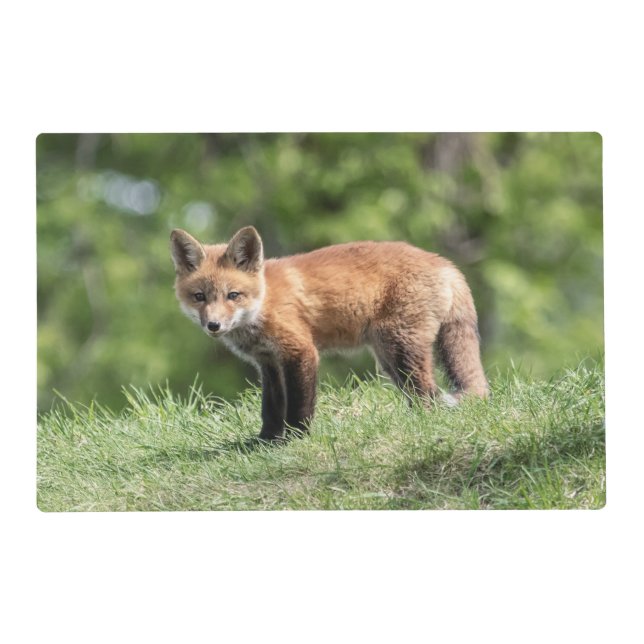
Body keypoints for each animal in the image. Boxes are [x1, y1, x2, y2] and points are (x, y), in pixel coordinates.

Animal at [170, 226, 489, 440]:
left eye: (233, 295)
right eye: (199, 297)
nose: (213, 326)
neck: (264, 302)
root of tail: (445, 263)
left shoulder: (300, 351)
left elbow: (299, 405)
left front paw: (295, 439)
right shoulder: (268, 362)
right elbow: (271, 407)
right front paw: (265, 441)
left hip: (400, 349)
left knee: (428, 394)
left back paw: (419, 424)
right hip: (389, 357)